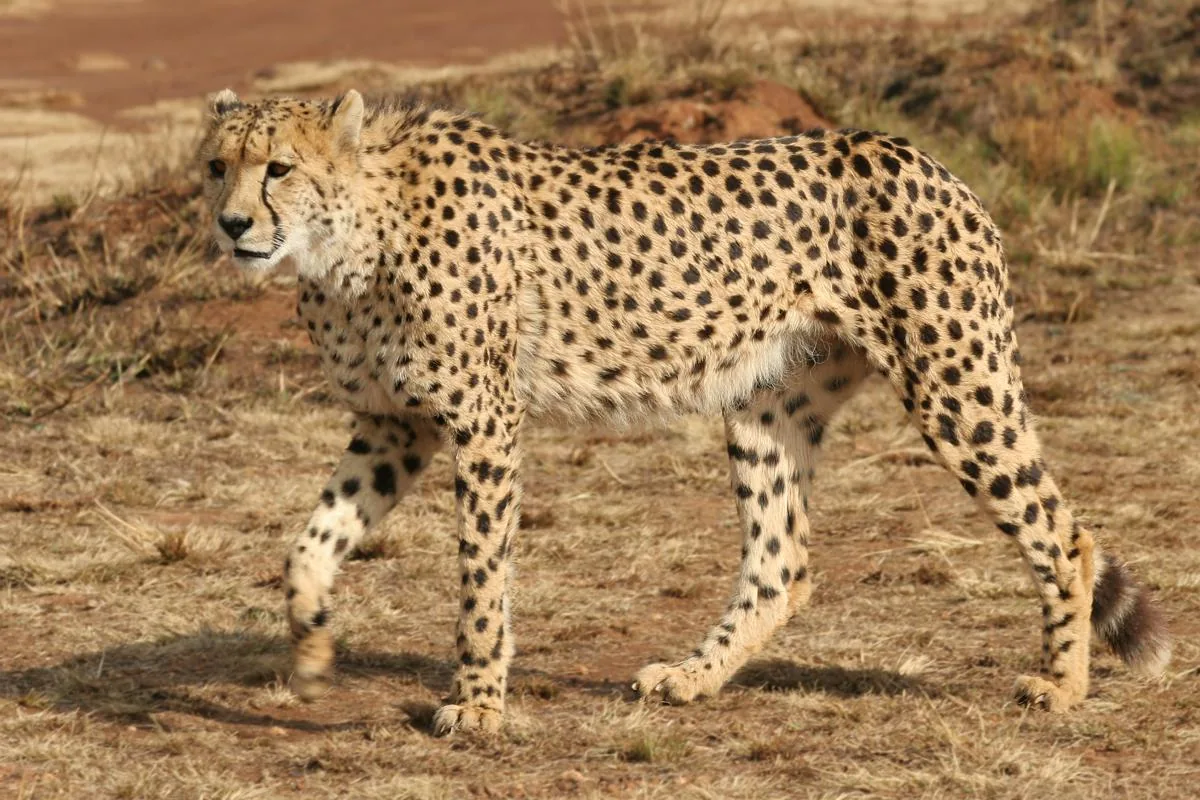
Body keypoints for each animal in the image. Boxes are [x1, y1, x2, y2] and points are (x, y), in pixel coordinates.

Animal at [196, 88, 1171, 735]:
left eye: (278, 168)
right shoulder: (398, 424)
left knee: (1064, 533)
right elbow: (308, 544)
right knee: (784, 563)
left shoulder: (483, 423)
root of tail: (916, 154)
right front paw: (312, 650)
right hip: (768, 405)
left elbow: (479, 577)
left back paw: (1061, 687)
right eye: (216, 167)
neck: (353, 234)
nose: (232, 225)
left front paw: (475, 704)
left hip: (955, 384)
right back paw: (694, 678)